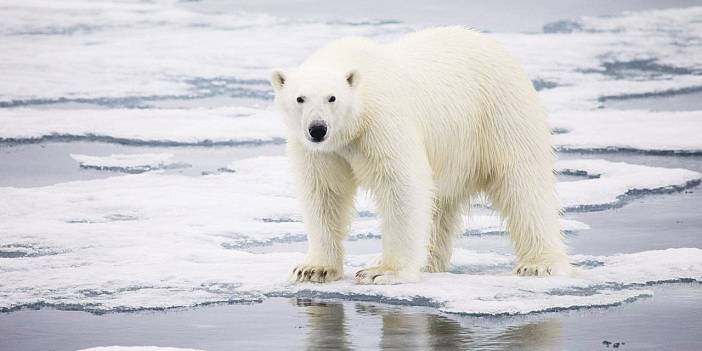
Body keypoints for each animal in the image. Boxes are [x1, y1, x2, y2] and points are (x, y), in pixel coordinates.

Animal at [270, 27, 572, 286]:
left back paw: (538, 264)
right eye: (300, 98)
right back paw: (428, 261)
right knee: (440, 205)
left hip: (499, 114)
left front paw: (382, 271)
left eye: (332, 98)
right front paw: (313, 269)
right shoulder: (320, 151)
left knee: (523, 184)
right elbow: (324, 192)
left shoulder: (382, 122)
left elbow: (401, 185)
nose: (318, 129)